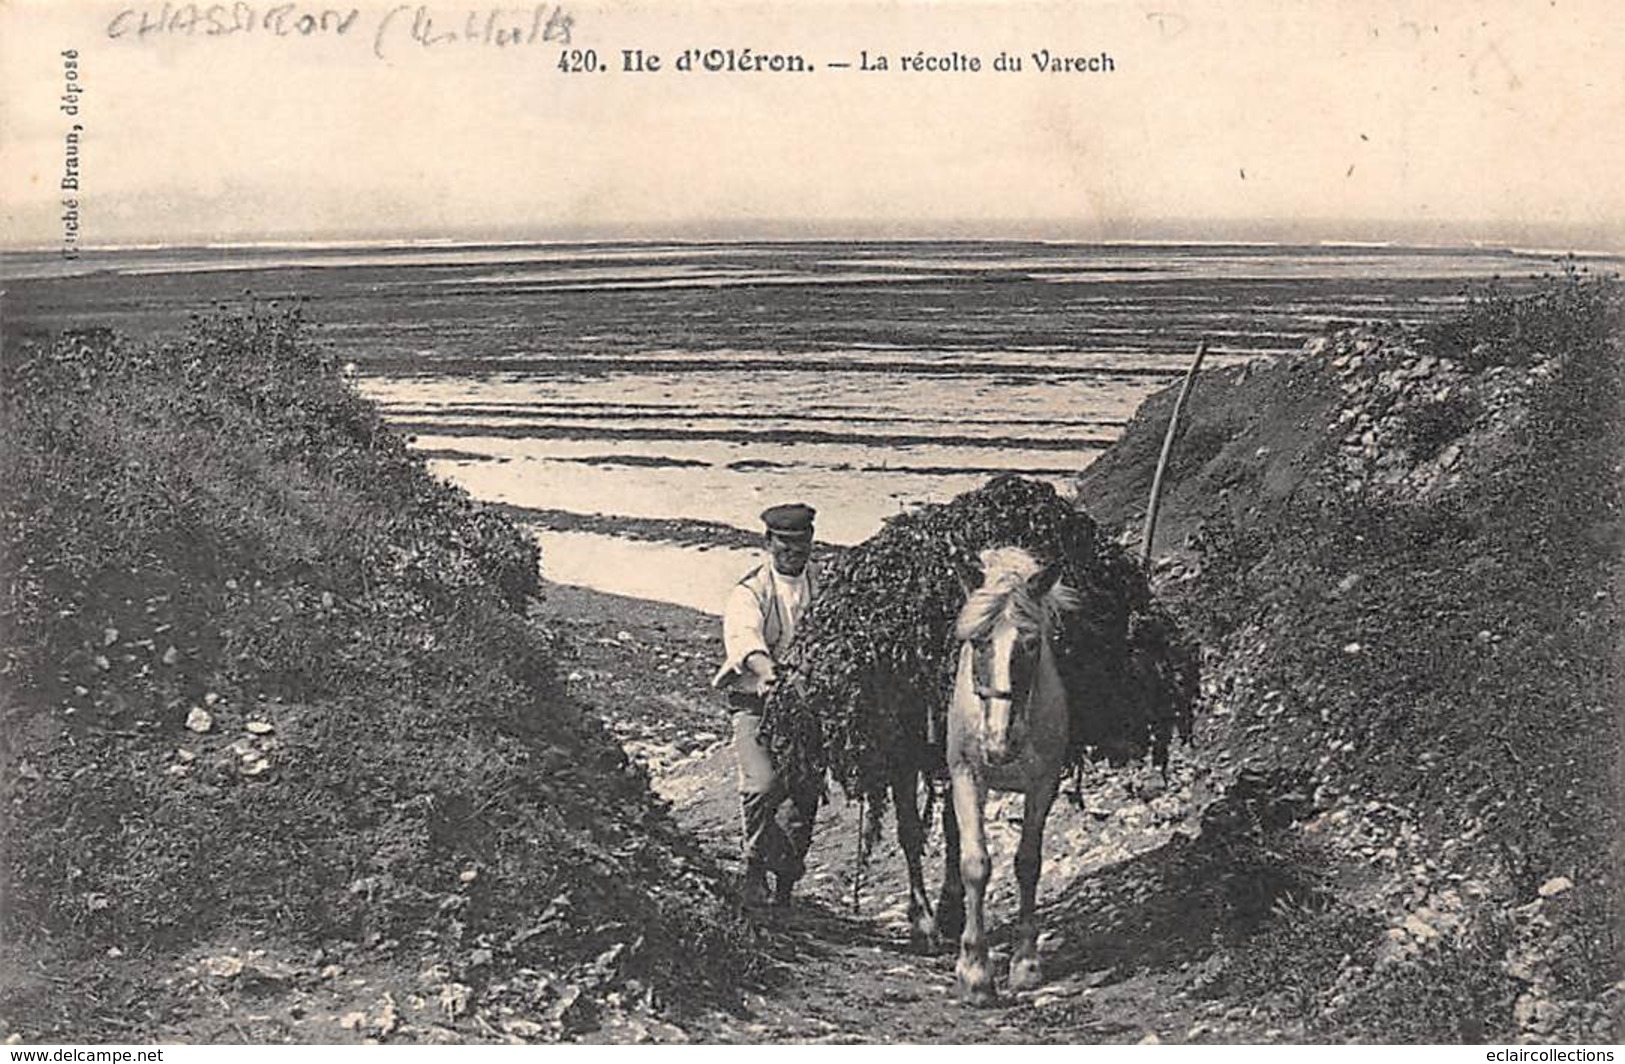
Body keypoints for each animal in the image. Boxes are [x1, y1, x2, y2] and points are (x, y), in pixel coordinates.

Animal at [890, 549, 1079, 1007]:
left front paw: (1026, 963)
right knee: (911, 834)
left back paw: (948, 910)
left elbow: (1028, 862)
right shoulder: (966, 775)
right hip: (905, 764)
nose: (998, 744)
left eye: (1031, 645)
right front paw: (974, 970)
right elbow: (976, 863)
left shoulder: (1044, 783)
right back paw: (924, 923)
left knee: (949, 830)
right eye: (978, 643)